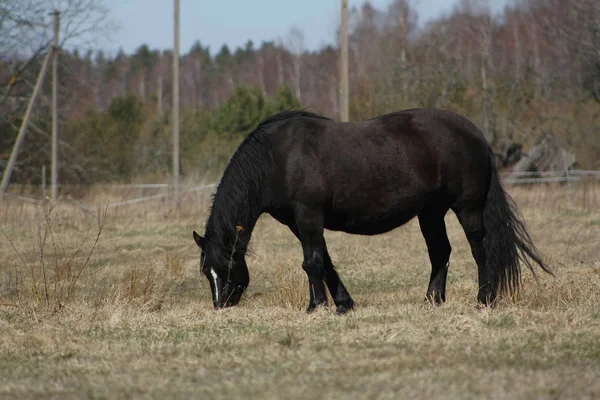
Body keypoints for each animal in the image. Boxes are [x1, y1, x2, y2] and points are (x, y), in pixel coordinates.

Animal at [193, 108, 552, 312]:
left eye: (226, 268)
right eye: (206, 273)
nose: (220, 305)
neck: (278, 158)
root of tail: (476, 133)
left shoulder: (308, 216)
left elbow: (312, 262)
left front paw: (315, 306)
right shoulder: (299, 222)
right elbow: (325, 262)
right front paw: (343, 304)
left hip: (467, 207)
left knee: (480, 249)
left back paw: (484, 299)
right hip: (431, 212)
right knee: (440, 252)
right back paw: (432, 300)